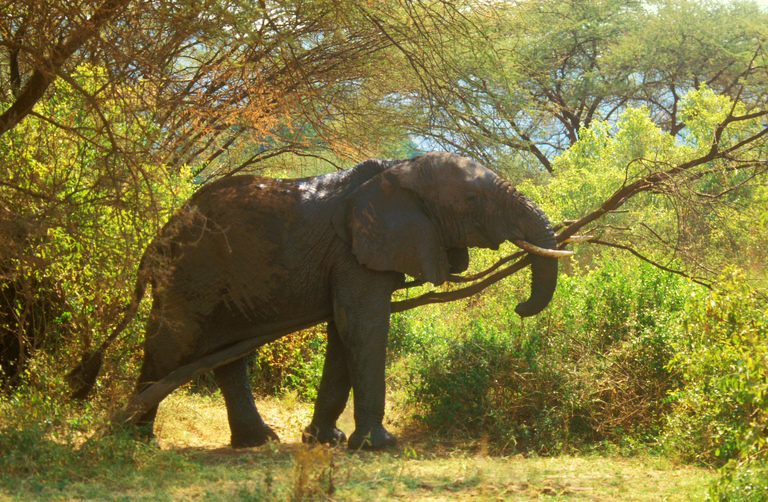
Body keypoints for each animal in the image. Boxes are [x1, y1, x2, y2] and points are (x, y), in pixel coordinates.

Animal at [71, 151, 570, 451]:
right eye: (471, 199)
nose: (521, 309)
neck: (400, 170)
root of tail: (156, 241)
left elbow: (341, 329)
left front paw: (324, 440)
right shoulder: (355, 251)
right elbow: (363, 325)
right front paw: (378, 445)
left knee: (224, 353)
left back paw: (260, 441)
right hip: (192, 270)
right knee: (172, 342)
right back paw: (134, 441)